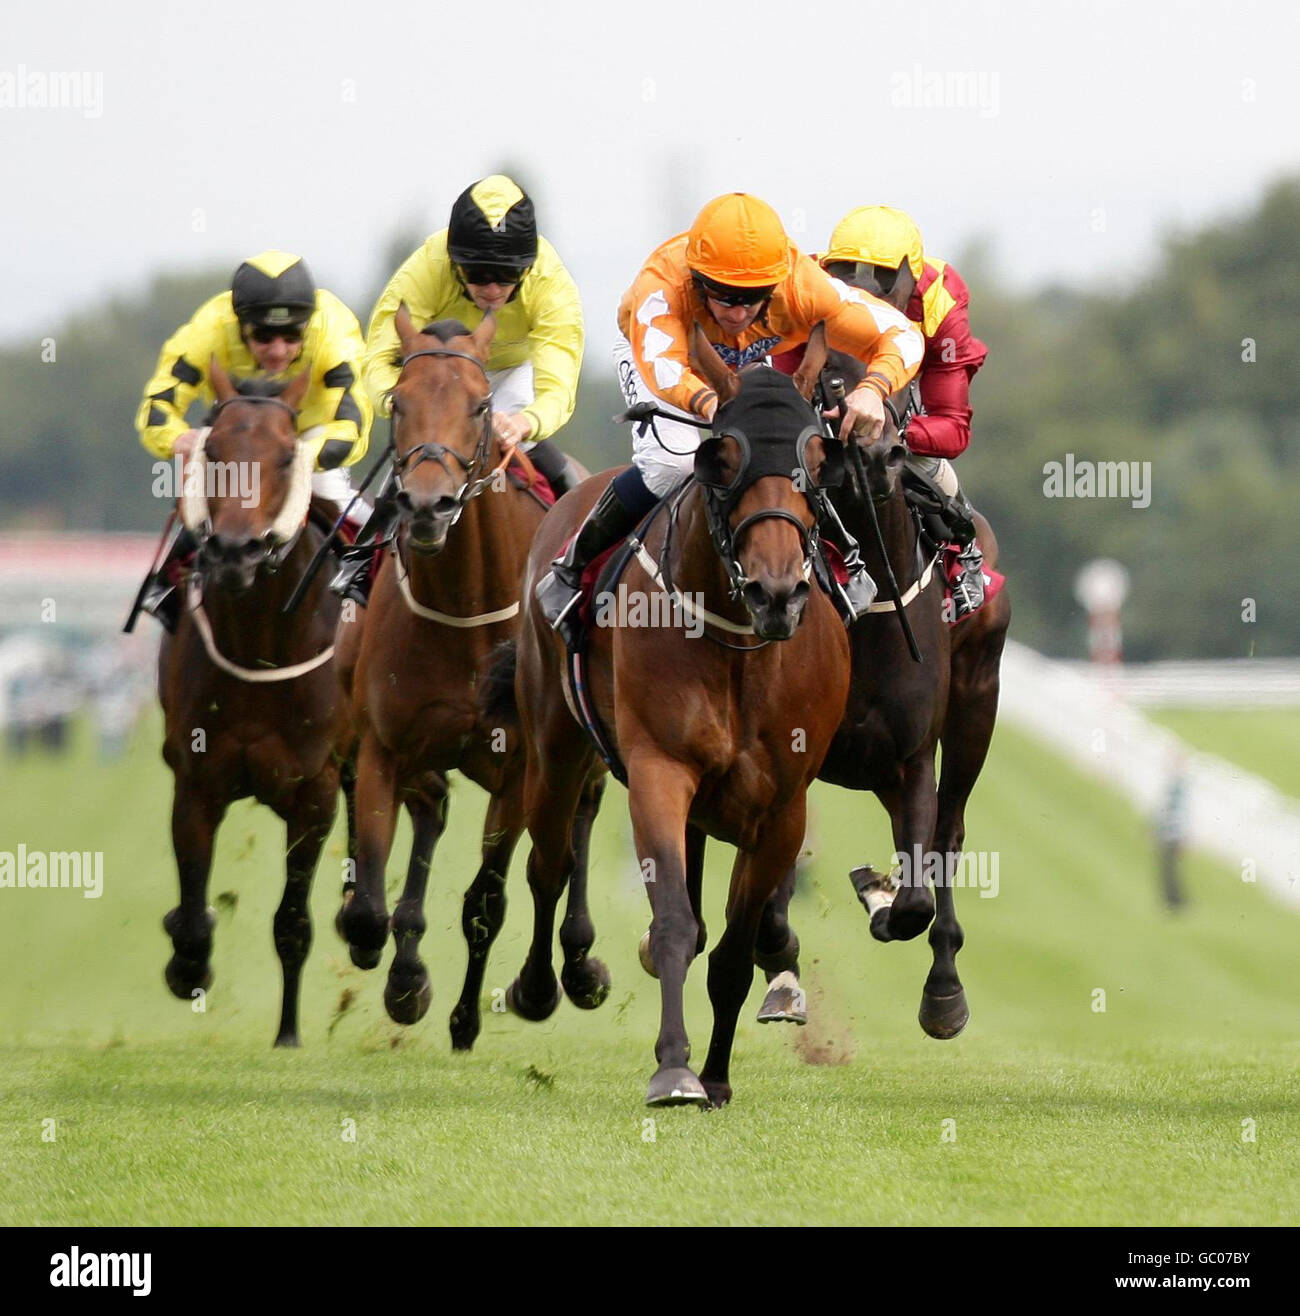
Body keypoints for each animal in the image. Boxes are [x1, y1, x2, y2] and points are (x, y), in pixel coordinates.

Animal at [156, 360, 350, 1047]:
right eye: (213, 451)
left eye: (288, 456)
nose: (237, 551)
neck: (261, 645)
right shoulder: (196, 781)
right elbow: (192, 911)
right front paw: (188, 964)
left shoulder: (315, 789)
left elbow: (292, 921)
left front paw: (288, 1033)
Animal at [335, 305, 600, 1047]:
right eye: (398, 402)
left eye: (481, 406)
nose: (429, 505)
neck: (463, 605)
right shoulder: (384, 747)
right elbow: (370, 902)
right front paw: (397, 972)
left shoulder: (517, 768)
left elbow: (487, 898)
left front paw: (467, 1016)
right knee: (425, 811)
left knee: (579, 820)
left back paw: (578, 963)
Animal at [497, 365, 852, 1105]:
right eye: (723, 458)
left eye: (816, 461)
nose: (778, 592)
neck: (740, 649)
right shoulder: (659, 772)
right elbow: (673, 925)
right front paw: (674, 1068)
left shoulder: (783, 809)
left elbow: (734, 950)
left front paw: (715, 1076)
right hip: (554, 746)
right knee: (549, 863)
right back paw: (541, 986)